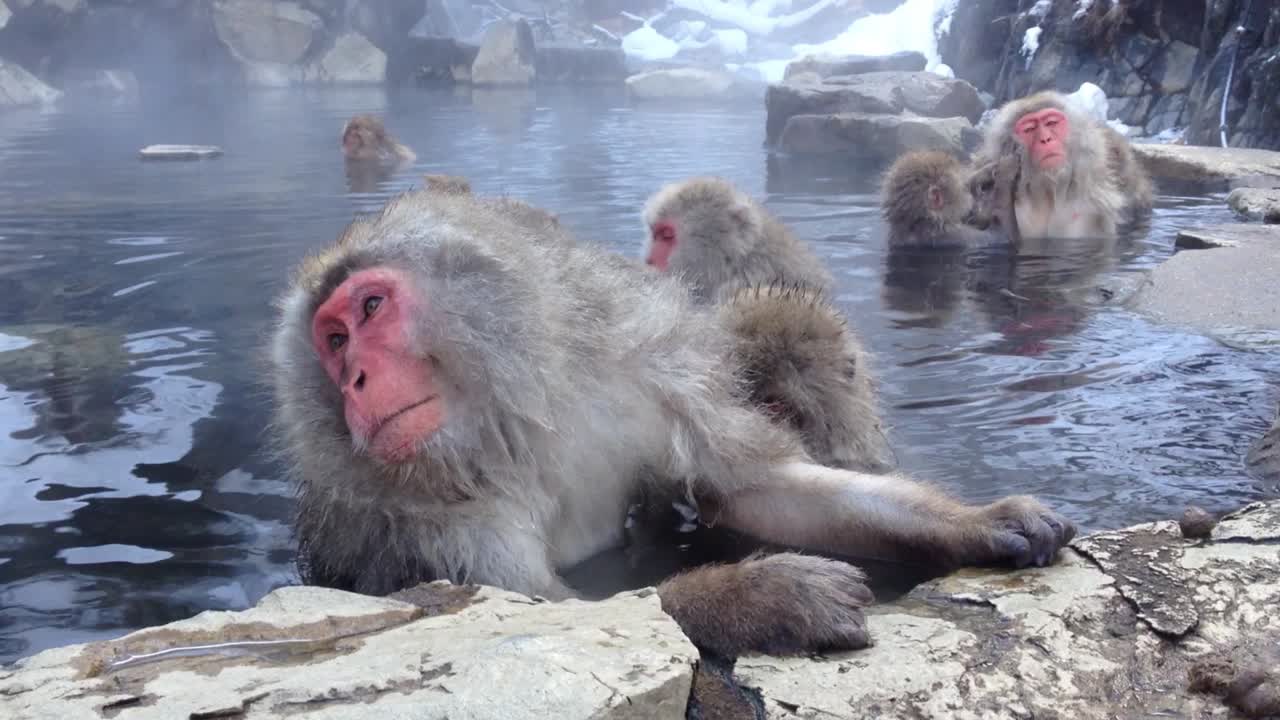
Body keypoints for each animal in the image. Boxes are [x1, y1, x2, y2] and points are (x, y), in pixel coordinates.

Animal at [270, 188, 1080, 661]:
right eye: (332, 340)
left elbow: (755, 489)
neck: (513, 420)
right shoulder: (408, 511)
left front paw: (976, 522)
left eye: (371, 308)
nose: (354, 380)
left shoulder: (649, 372)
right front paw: (763, 598)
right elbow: (549, 612)